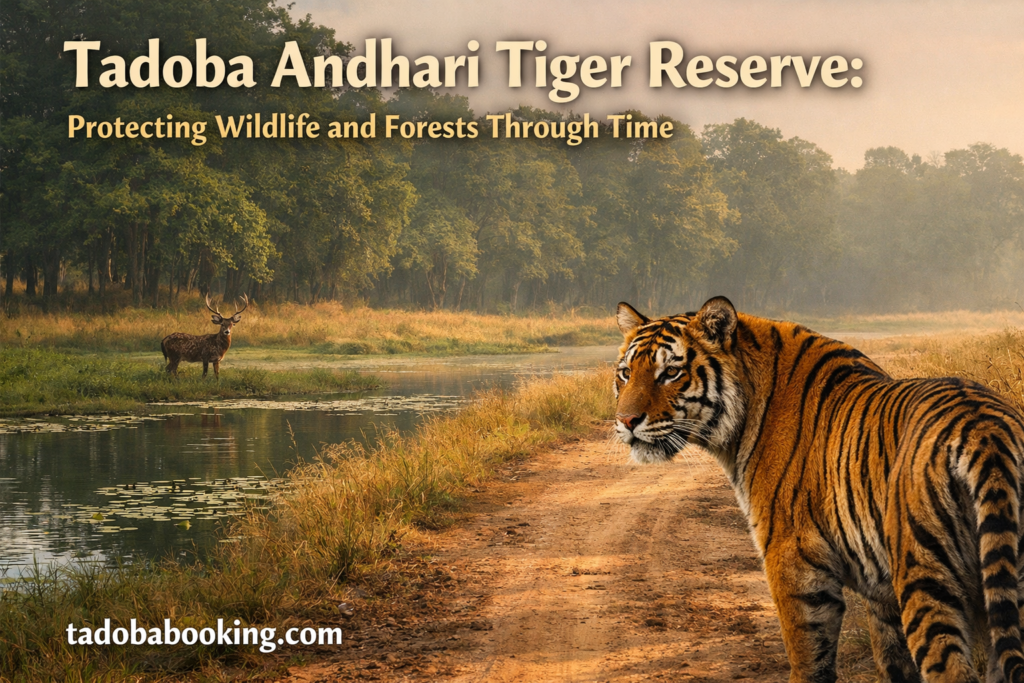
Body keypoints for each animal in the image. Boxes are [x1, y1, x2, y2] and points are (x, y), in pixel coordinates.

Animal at [613, 296, 1024, 683]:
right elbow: (892, 661)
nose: (626, 421)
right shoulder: (882, 598)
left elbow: (808, 658)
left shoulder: (792, 560)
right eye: (625, 374)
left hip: (925, 574)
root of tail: (985, 428)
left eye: (671, 372)